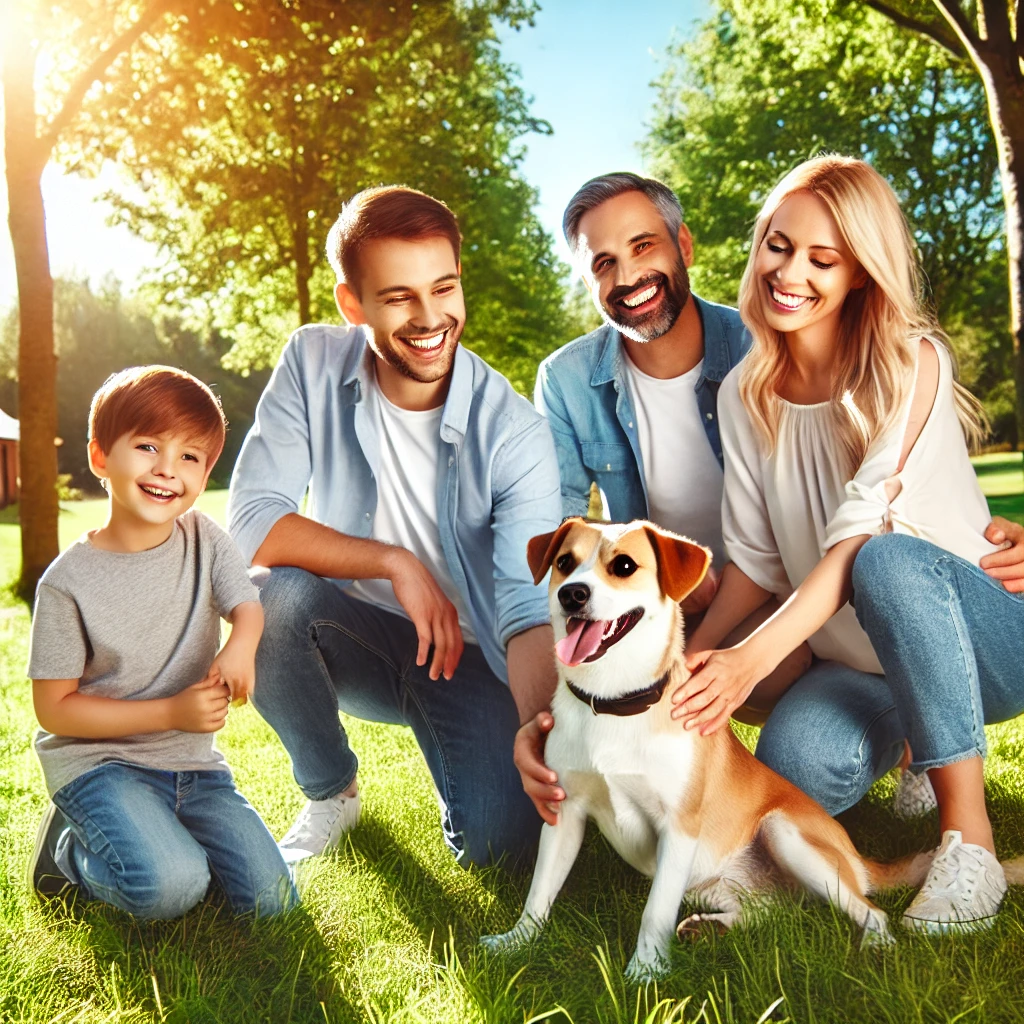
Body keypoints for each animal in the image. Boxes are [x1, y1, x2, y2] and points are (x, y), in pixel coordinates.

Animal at [483, 520, 937, 983]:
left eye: (623, 566)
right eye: (564, 562)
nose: (571, 593)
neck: (611, 701)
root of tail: (856, 856)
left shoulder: (678, 828)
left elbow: (655, 911)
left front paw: (645, 972)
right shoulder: (564, 813)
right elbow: (539, 891)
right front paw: (516, 942)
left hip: (785, 833)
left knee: (872, 911)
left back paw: (876, 946)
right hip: (716, 885)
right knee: (778, 911)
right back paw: (711, 929)